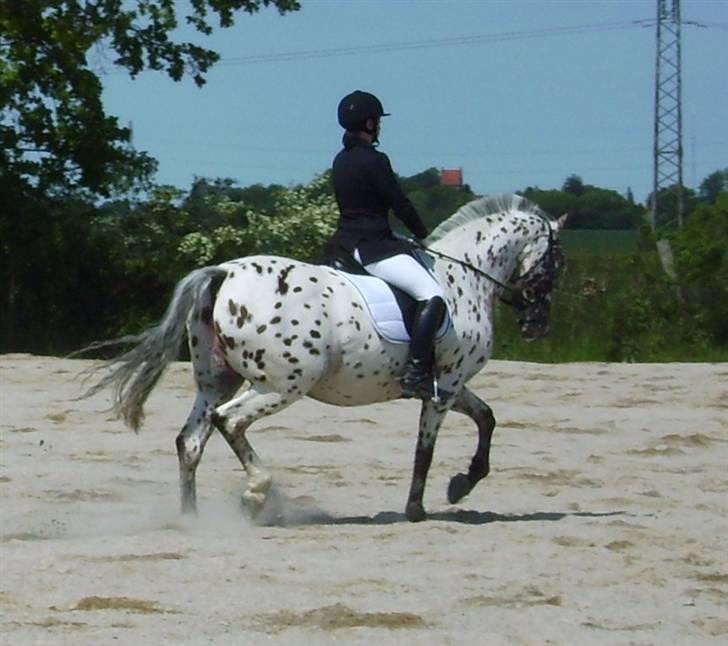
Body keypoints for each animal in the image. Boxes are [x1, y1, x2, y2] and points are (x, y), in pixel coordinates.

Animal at [81, 195, 568, 524]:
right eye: (557, 262)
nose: (537, 327)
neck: (462, 275)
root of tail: (222, 272)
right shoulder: (445, 386)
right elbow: (425, 448)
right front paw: (419, 507)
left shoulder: (451, 383)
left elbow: (487, 417)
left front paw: (462, 484)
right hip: (284, 383)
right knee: (229, 421)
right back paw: (255, 494)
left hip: (217, 380)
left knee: (191, 441)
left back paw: (192, 519)